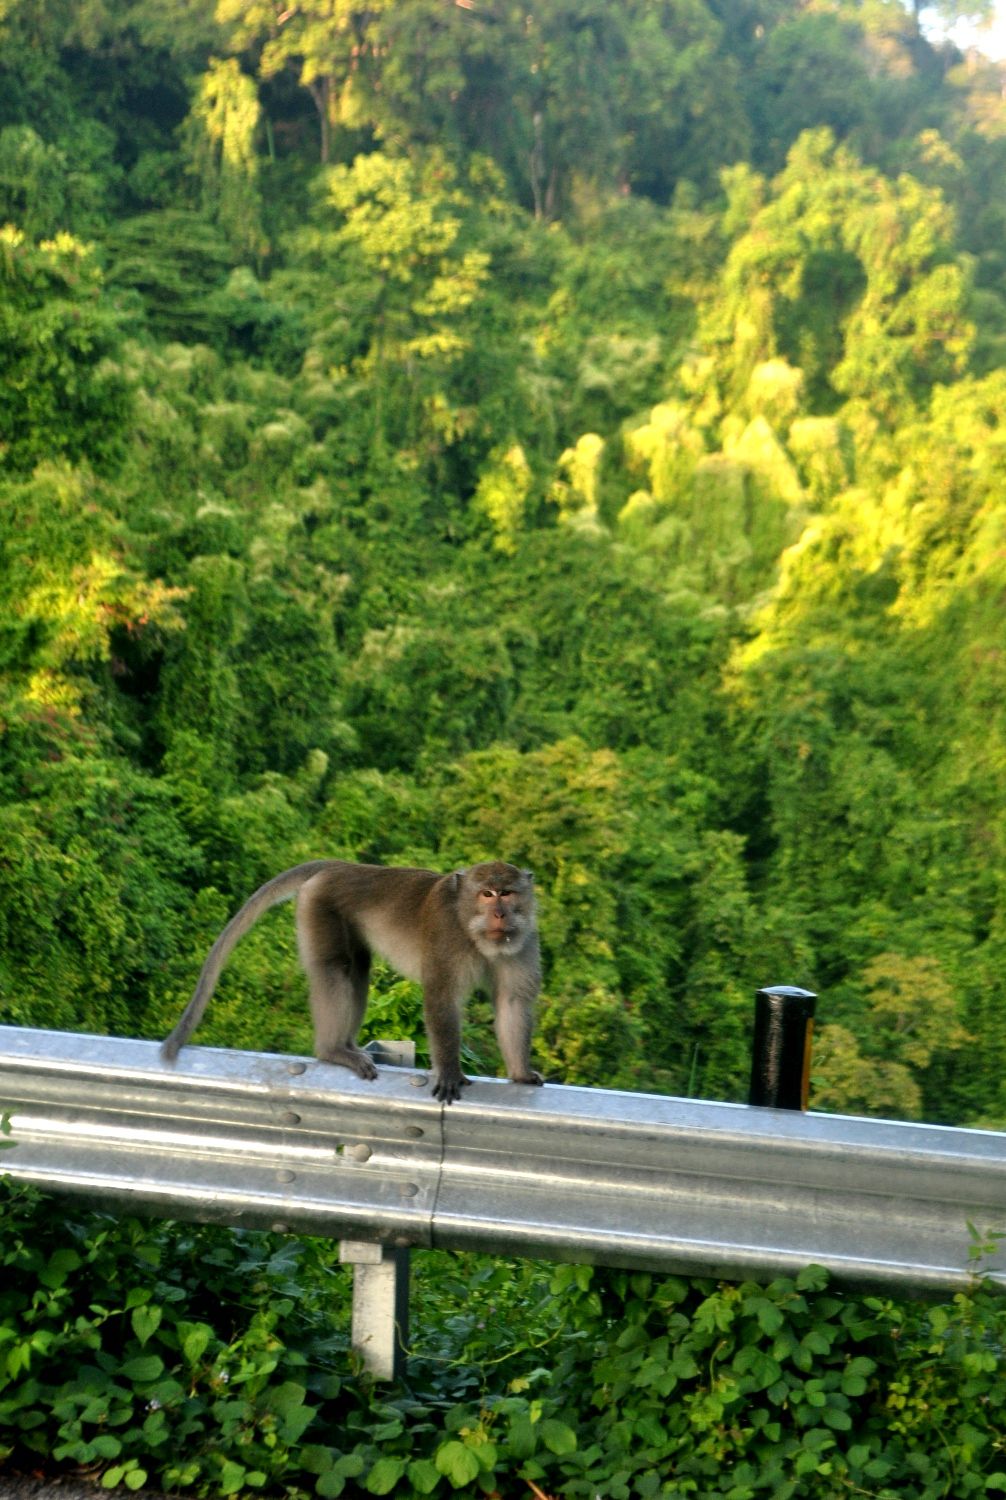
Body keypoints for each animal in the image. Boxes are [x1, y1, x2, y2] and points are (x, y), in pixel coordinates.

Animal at [161, 858, 542, 1104]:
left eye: (507, 893)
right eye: (487, 894)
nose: (500, 914)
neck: (470, 928)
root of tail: (344, 866)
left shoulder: (524, 939)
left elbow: (513, 1001)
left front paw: (521, 1073)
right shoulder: (446, 936)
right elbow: (441, 999)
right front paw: (449, 1071)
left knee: (358, 968)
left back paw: (345, 1045)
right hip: (319, 904)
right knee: (337, 967)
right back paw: (332, 1051)